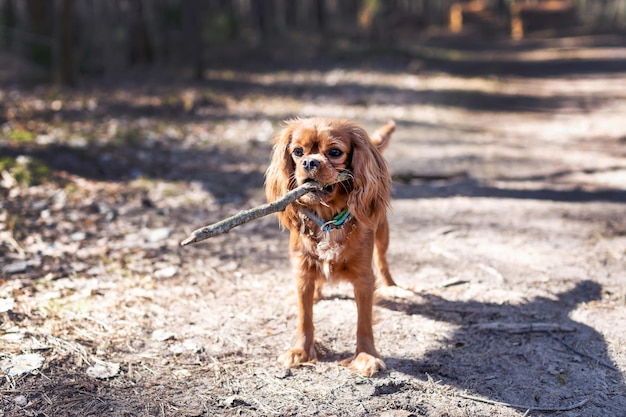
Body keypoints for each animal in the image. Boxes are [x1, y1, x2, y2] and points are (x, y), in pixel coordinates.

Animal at [264, 118, 394, 376]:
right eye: (298, 152)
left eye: (334, 152)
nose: (309, 162)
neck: (327, 221)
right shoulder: (302, 272)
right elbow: (305, 318)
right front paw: (300, 352)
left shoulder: (364, 278)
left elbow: (364, 322)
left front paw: (366, 356)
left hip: (383, 234)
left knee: (383, 260)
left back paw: (392, 287)